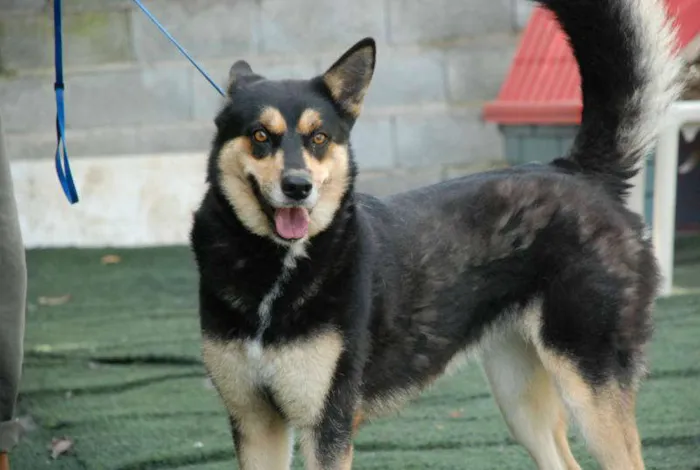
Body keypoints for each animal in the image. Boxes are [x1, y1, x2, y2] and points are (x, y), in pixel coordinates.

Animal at [189, 0, 680, 466]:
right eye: (259, 136)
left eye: (319, 138)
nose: (297, 187)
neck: (277, 268)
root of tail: (578, 173)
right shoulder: (255, 423)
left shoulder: (327, 423)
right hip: (518, 395)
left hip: (589, 385)